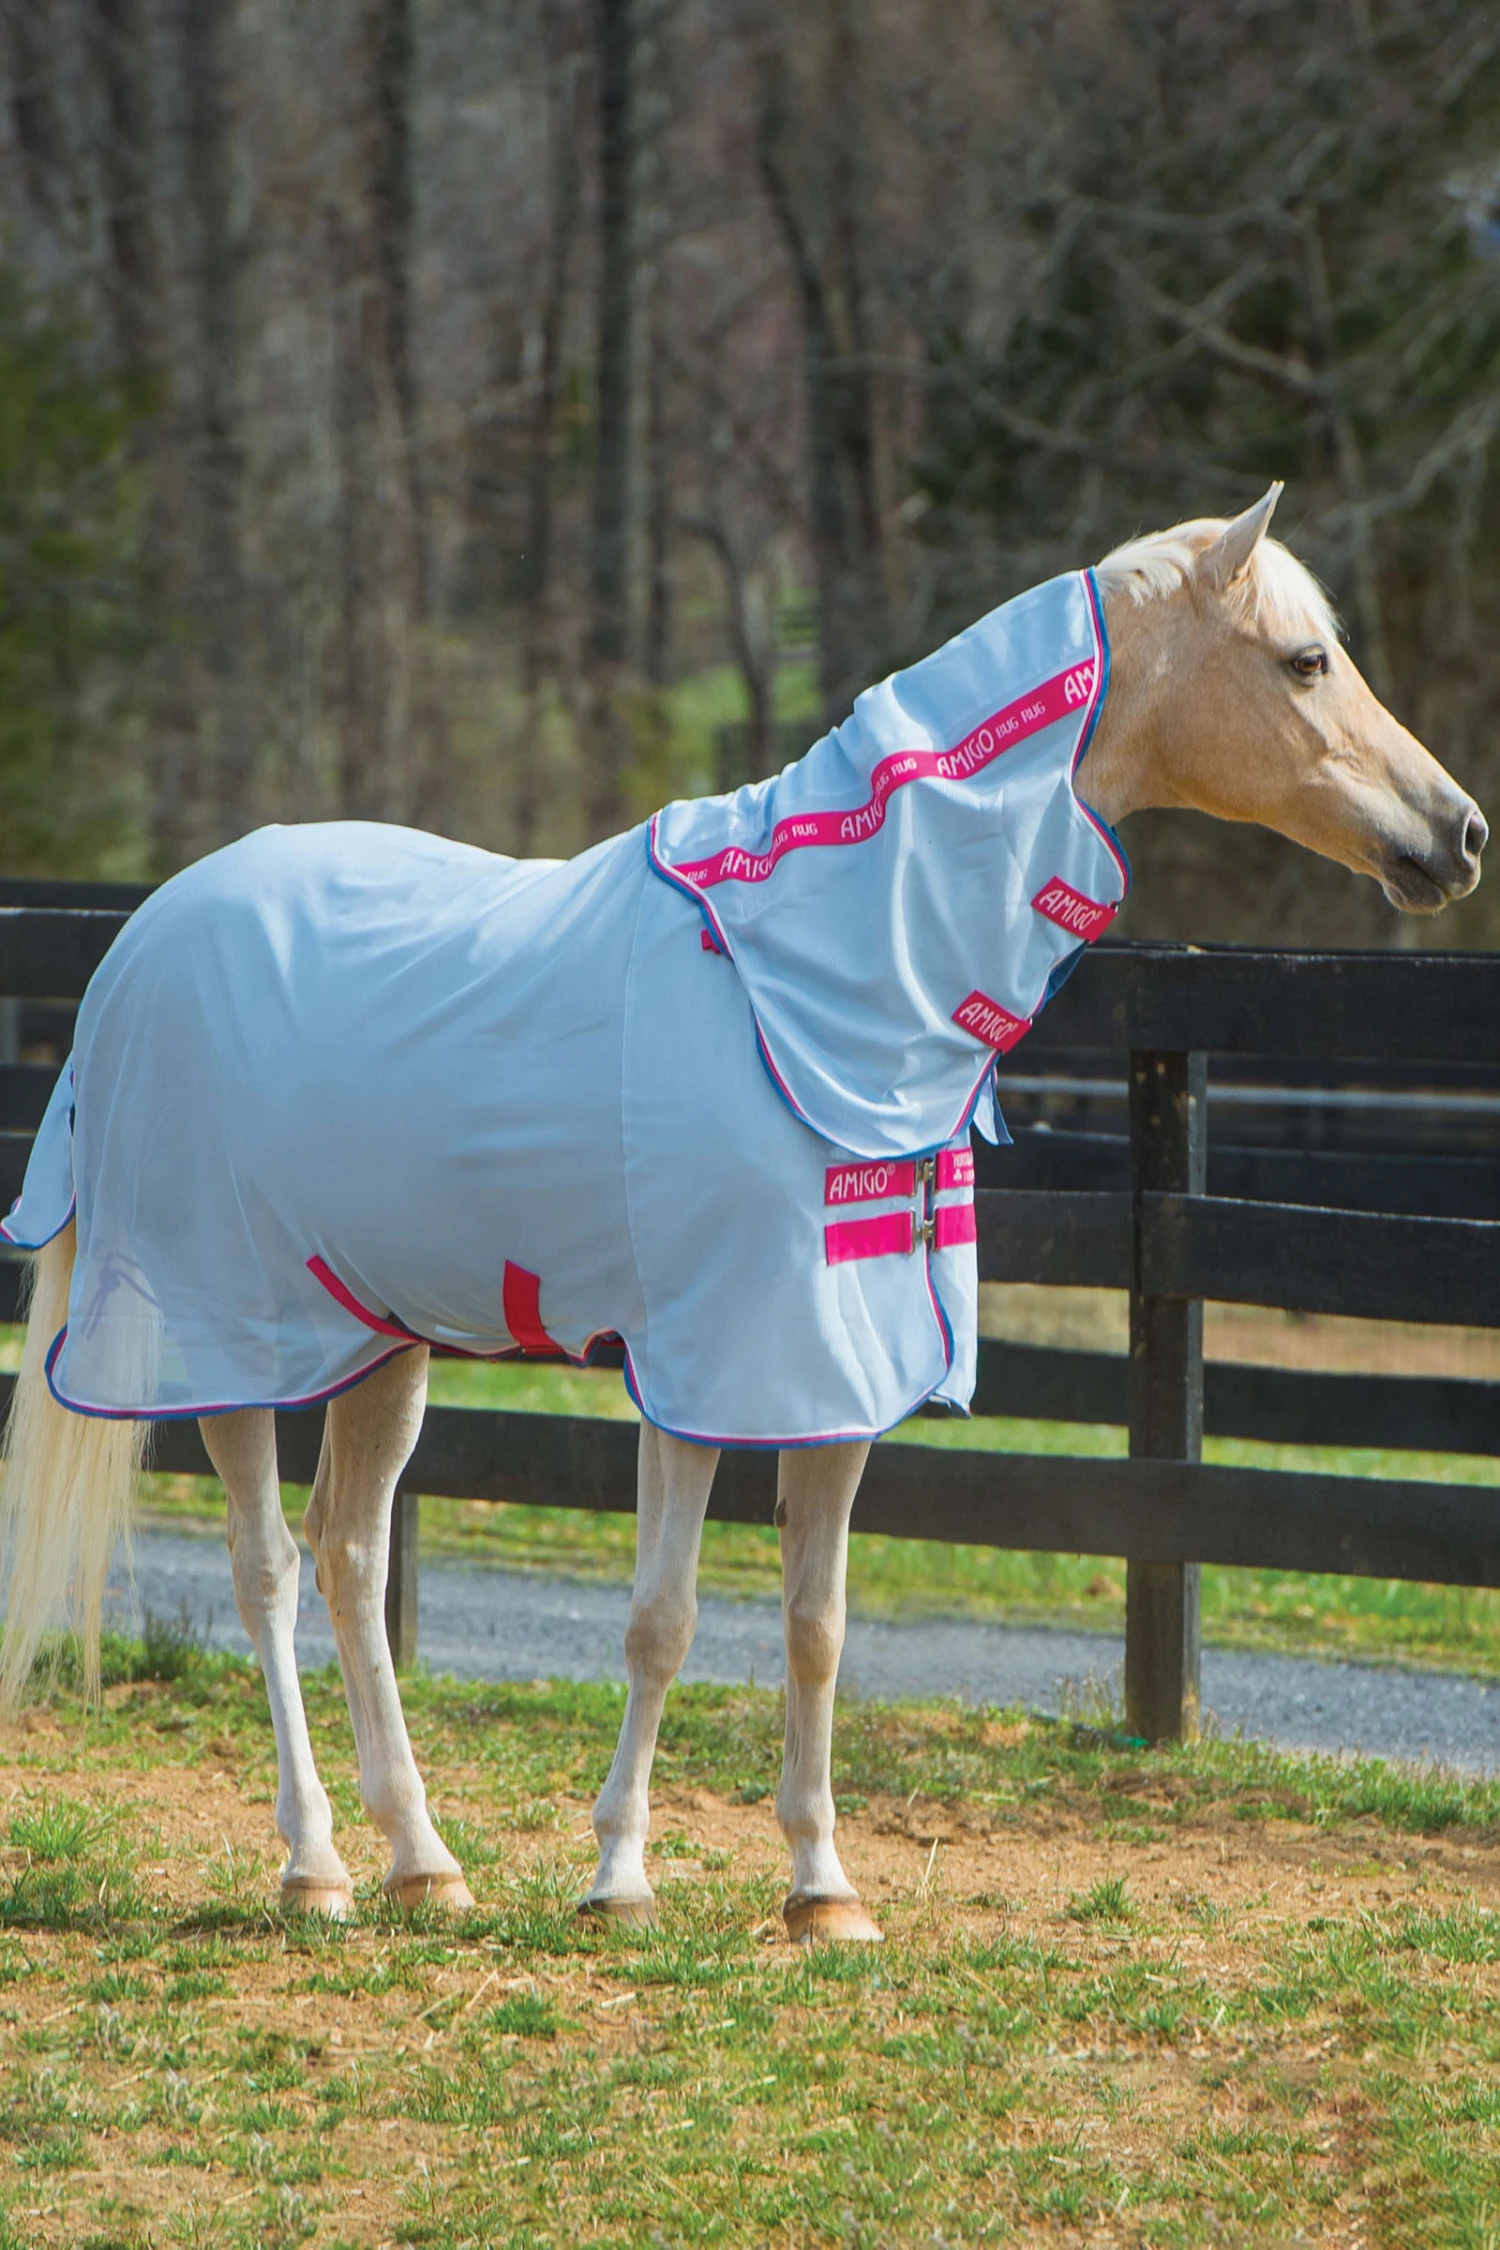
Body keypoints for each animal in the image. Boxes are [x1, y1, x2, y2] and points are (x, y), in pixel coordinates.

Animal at [0, 484, 1484, 1942]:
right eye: (1306, 660)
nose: (1459, 832)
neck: (812, 979)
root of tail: (140, 945)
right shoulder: (702, 1367)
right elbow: (663, 1617)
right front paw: (619, 1877)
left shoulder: (831, 1374)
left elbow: (816, 1622)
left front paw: (823, 1888)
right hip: (222, 1340)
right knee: (262, 1566)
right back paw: (314, 1867)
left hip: (377, 1334)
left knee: (351, 1556)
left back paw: (423, 1862)